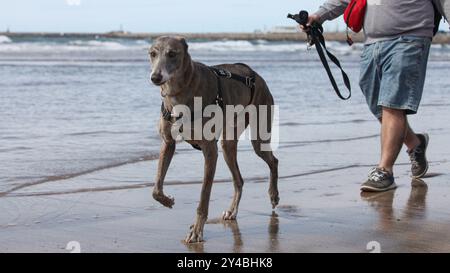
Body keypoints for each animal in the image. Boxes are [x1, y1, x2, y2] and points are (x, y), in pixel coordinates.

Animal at [149, 36, 280, 242]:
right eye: (152, 54)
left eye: (172, 53)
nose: (155, 77)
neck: (180, 91)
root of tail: (255, 74)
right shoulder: (168, 143)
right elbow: (156, 189)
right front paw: (167, 200)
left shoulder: (210, 151)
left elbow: (204, 195)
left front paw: (196, 231)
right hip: (228, 145)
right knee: (239, 180)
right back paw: (232, 211)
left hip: (259, 134)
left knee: (273, 161)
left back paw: (274, 195)